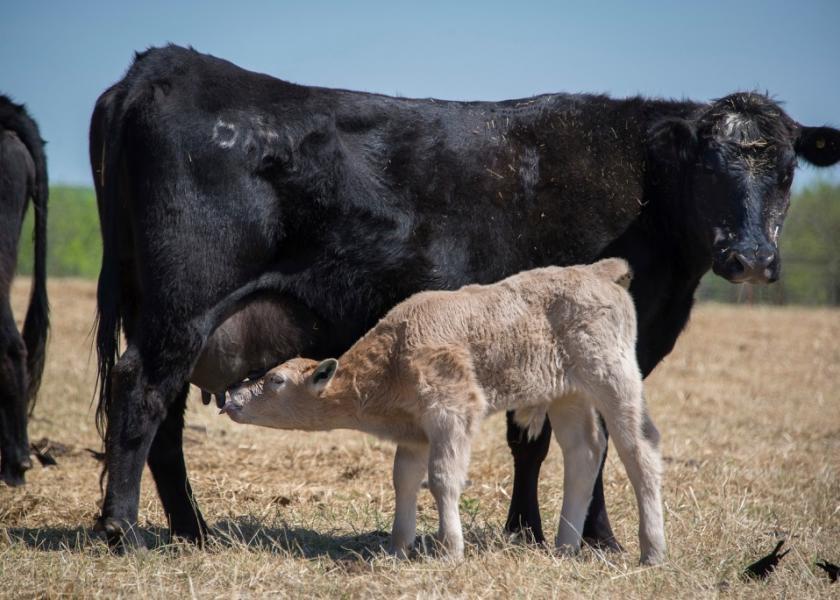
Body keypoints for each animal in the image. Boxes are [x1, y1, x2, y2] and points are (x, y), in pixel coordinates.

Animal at [221, 258, 664, 564]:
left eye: (276, 380)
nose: (230, 396)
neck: (392, 356)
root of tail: (596, 271)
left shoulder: (452, 414)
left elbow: (441, 478)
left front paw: (449, 550)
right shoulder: (415, 432)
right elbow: (404, 479)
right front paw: (398, 548)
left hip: (613, 376)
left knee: (639, 448)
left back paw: (652, 551)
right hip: (567, 395)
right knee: (584, 451)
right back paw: (565, 547)